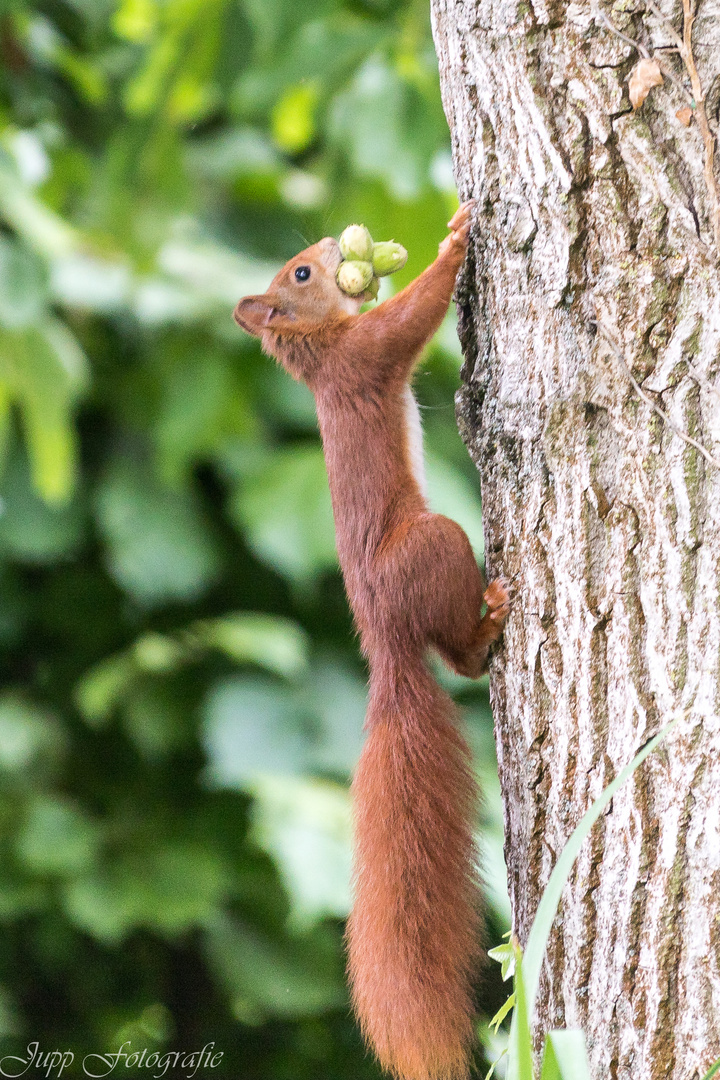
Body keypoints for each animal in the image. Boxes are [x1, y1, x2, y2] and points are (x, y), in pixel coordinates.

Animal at [234, 203, 509, 1080]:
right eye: (301, 274)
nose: (329, 243)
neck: (321, 350)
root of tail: (384, 644)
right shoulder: (369, 353)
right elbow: (413, 318)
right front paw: (454, 243)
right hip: (437, 545)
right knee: (460, 651)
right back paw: (491, 619)